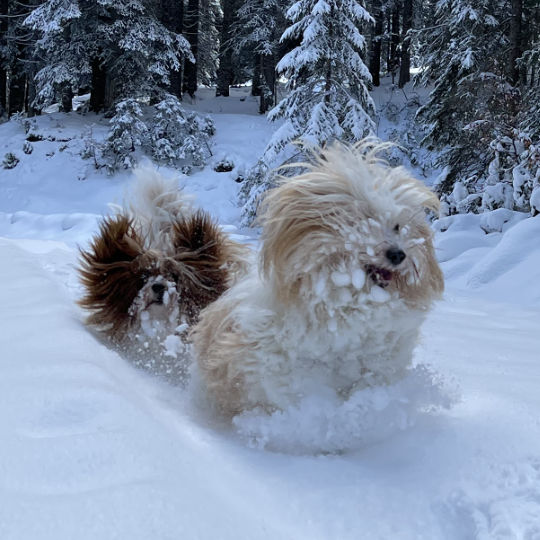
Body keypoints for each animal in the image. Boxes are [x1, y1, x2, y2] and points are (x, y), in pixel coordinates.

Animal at [192, 141, 446, 416]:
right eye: (364, 219)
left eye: (398, 226)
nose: (398, 254)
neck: (354, 302)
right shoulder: (266, 356)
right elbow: (290, 385)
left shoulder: (385, 356)